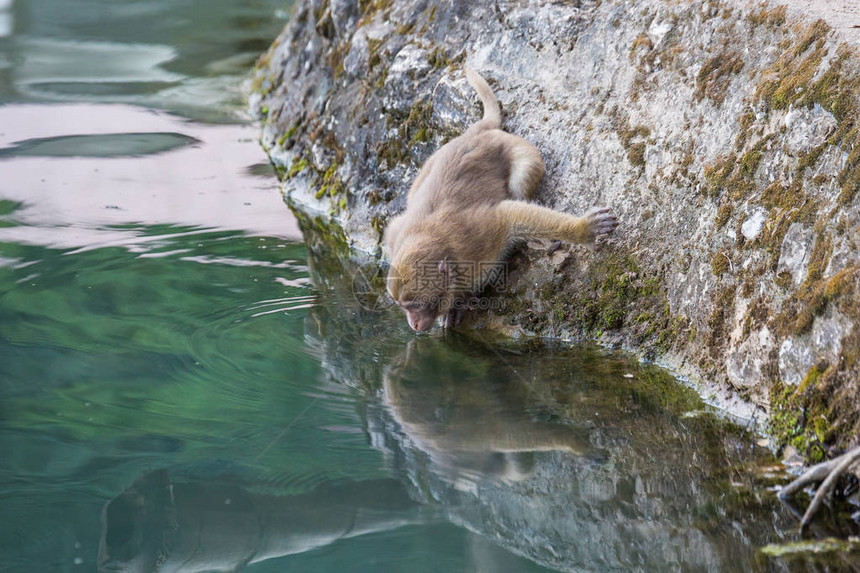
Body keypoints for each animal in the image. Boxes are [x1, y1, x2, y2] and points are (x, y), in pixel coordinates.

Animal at [384, 69, 620, 332]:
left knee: (524, 176)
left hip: (513, 146)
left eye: (414, 305)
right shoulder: (396, 239)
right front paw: (456, 305)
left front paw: (582, 229)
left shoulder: (477, 240)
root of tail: (473, 133)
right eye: (402, 306)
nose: (413, 324)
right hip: (428, 165)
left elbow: (509, 215)